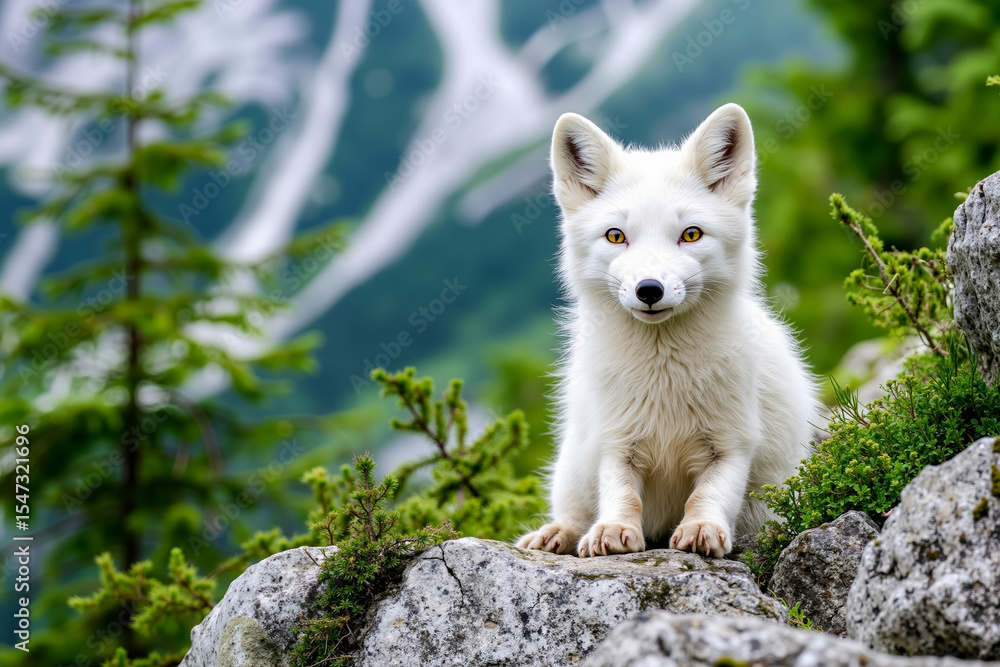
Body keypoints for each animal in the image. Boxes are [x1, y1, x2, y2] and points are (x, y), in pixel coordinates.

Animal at [516, 103, 819, 558]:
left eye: (691, 234)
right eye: (616, 236)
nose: (649, 290)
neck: (665, 373)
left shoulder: (732, 443)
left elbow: (708, 495)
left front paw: (701, 529)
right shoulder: (616, 441)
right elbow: (621, 495)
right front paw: (611, 531)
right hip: (574, 461)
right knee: (574, 511)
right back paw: (557, 534)